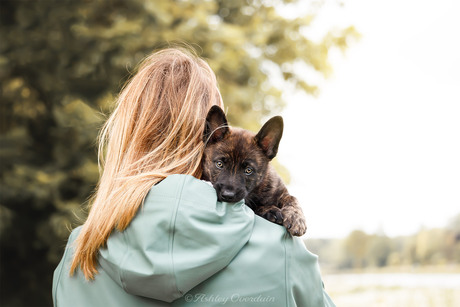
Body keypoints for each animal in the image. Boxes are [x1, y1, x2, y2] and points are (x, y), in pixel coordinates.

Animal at [200, 107, 306, 237]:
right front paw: (270, 210)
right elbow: (254, 207)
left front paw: (296, 218)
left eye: (248, 170)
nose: (228, 195)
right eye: (219, 164)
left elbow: (292, 198)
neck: (257, 190)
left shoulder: (282, 192)